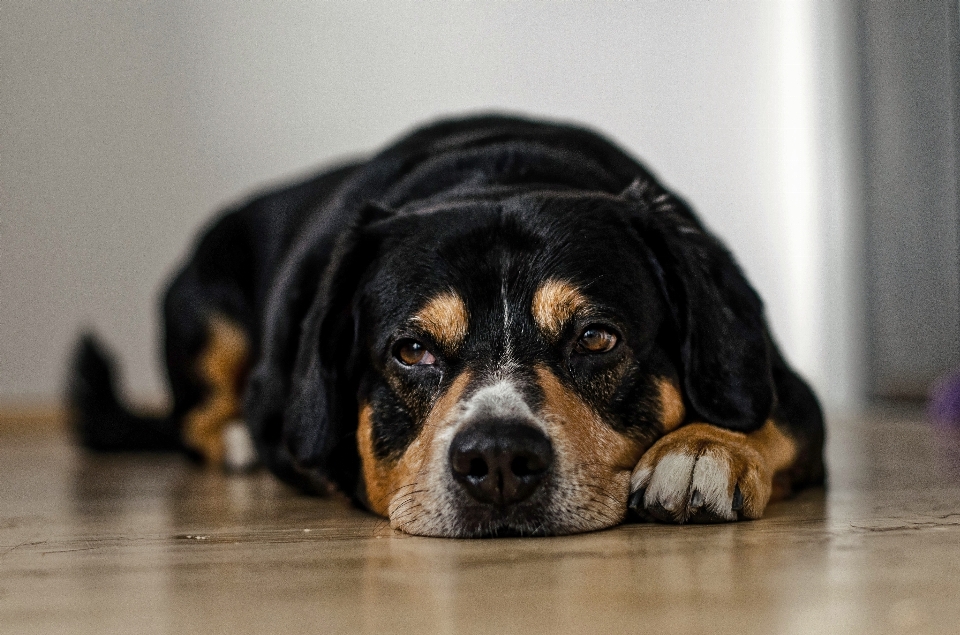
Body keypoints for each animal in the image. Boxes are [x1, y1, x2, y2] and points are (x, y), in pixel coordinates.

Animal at [73, 114, 824, 536]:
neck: (499, 175)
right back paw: (235, 441)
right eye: (411, 350)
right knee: (193, 416)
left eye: (596, 338)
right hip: (205, 309)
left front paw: (700, 450)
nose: (497, 460)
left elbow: (768, 414)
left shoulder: (782, 381)